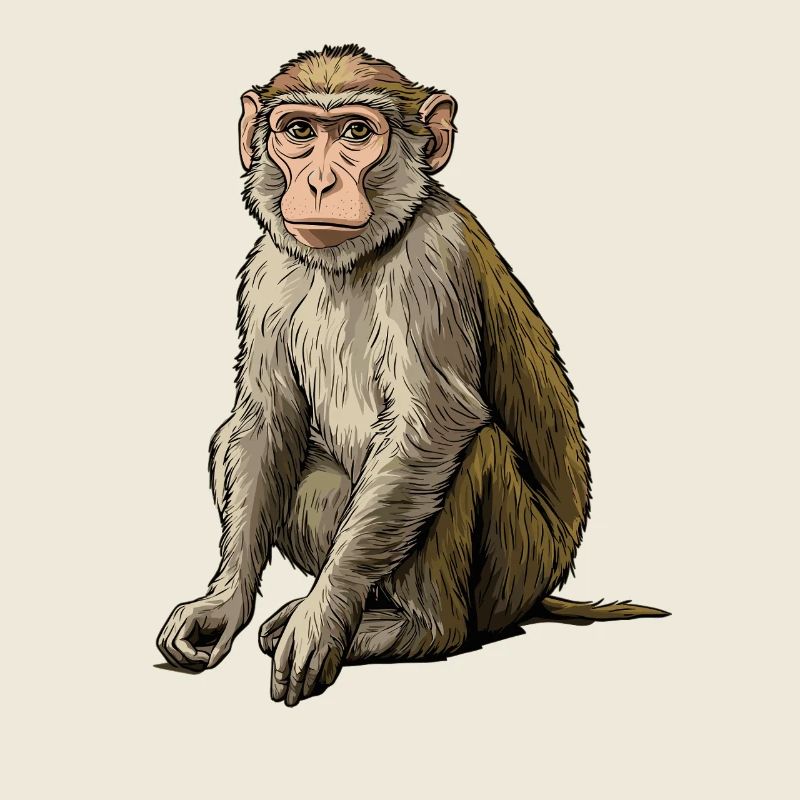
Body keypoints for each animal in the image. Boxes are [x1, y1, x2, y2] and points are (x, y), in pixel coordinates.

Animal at [157, 45, 668, 706]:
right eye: (299, 132)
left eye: (355, 133)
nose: (318, 182)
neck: (356, 256)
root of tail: (540, 590)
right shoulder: (265, 269)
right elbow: (263, 422)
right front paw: (222, 606)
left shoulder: (435, 261)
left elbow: (432, 426)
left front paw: (322, 619)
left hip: (513, 569)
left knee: (472, 449)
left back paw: (416, 629)